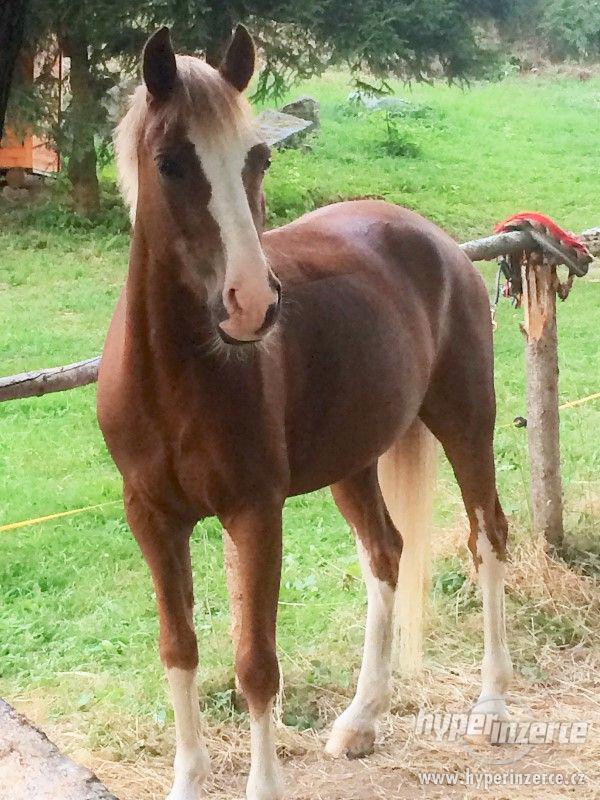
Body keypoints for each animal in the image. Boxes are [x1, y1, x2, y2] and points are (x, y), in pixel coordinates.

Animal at [97, 25, 513, 800]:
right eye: (170, 164)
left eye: (258, 157)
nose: (253, 305)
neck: (176, 376)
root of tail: (434, 239)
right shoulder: (152, 518)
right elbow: (179, 649)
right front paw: (188, 779)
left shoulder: (255, 512)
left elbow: (256, 664)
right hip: (353, 460)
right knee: (386, 553)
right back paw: (361, 720)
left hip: (467, 424)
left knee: (487, 538)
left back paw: (493, 705)